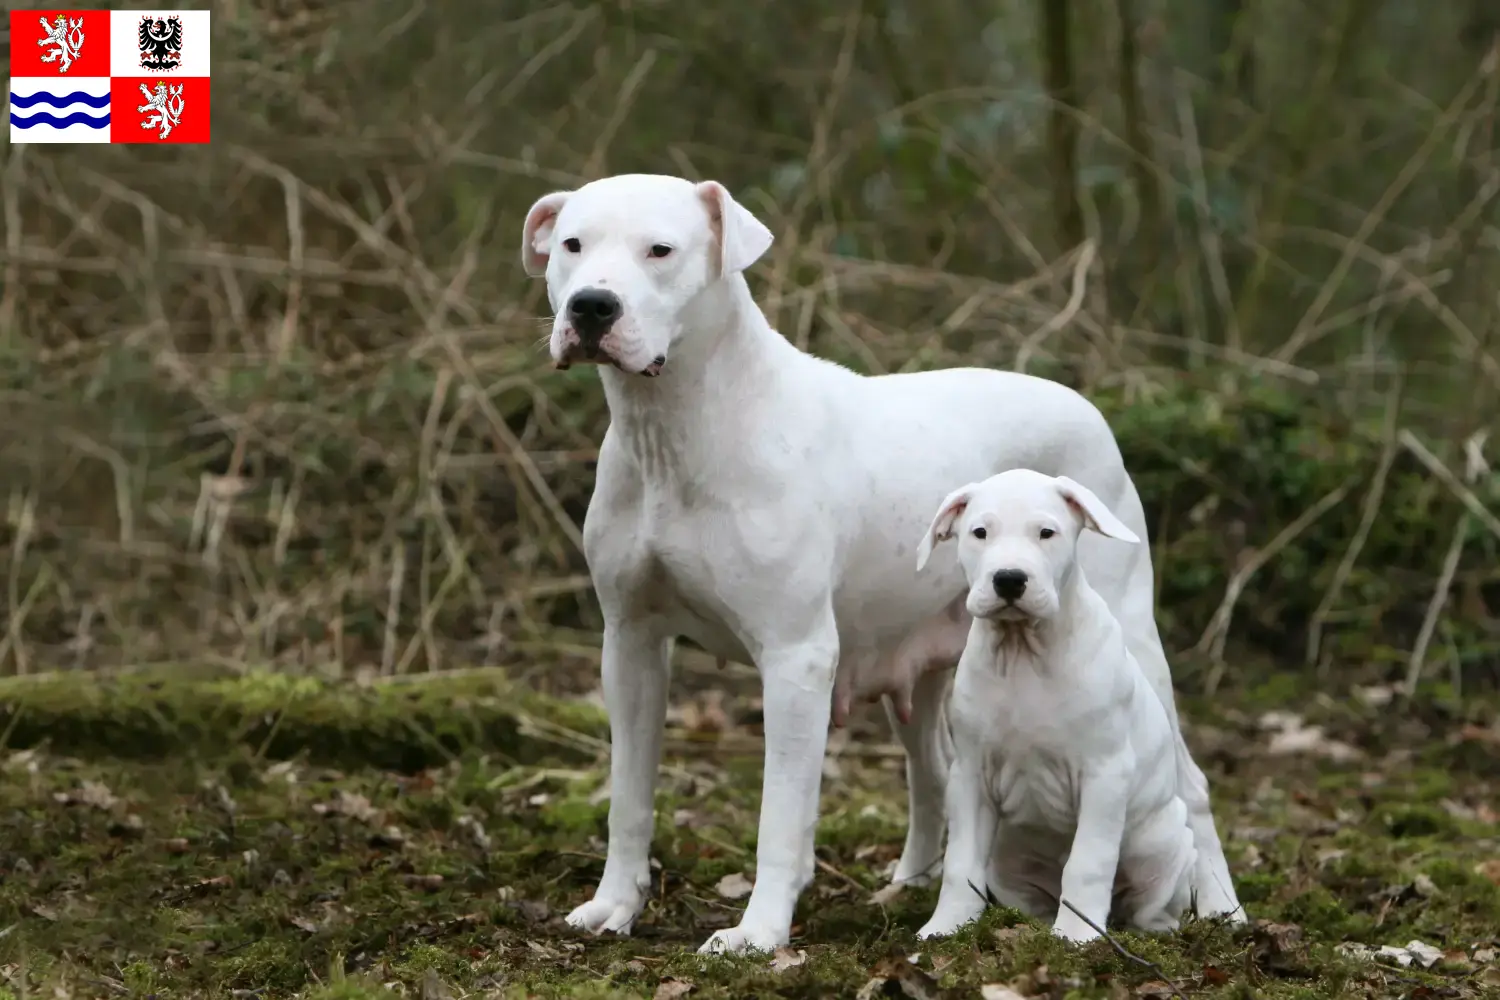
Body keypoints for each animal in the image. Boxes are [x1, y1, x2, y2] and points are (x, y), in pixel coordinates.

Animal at [906, 473, 1200, 941]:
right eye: (980, 533)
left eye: (1047, 533)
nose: (1009, 579)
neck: (1025, 652)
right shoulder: (969, 777)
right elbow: (959, 864)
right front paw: (946, 927)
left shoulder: (1105, 774)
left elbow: (1088, 862)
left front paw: (1077, 937)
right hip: (1008, 865)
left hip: (1163, 844)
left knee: (1150, 905)